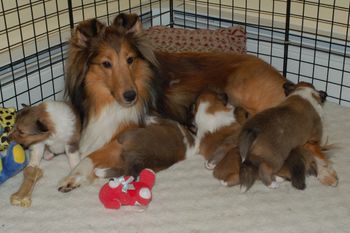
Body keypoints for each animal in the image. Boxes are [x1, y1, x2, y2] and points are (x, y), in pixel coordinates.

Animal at [58, 12, 338, 191]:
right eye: (106, 63)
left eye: (130, 59)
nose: (131, 96)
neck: (106, 100)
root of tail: (278, 74)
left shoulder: (126, 132)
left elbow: (91, 157)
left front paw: (72, 177)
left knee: (313, 143)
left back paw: (328, 174)